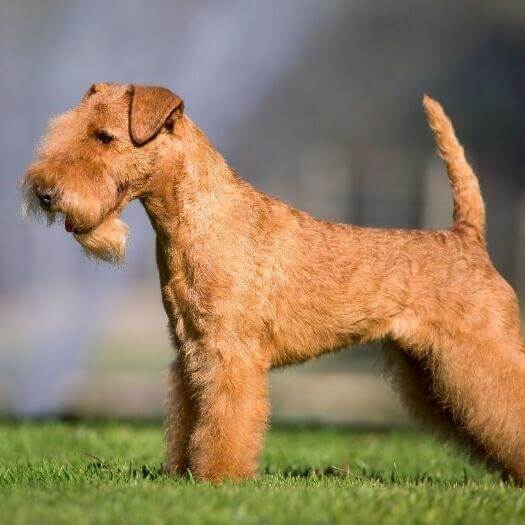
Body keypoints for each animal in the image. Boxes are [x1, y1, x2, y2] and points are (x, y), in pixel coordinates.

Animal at [22, 83, 524, 484]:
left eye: (104, 137)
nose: (44, 193)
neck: (196, 219)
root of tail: (467, 236)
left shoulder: (229, 355)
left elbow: (225, 423)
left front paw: (217, 480)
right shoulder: (191, 353)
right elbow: (190, 420)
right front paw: (183, 475)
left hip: (480, 352)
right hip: (431, 368)